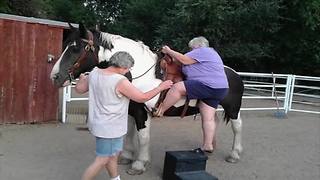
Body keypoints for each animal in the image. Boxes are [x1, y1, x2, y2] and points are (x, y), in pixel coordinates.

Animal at [50, 23, 244, 175]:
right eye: (65, 44)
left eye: (75, 48)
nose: (55, 76)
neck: (137, 73)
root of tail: (235, 74)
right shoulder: (130, 109)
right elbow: (129, 133)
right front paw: (127, 157)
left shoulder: (141, 111)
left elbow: (142, 136)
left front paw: (139, 164)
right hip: (209, 106)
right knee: (211, 122)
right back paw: (209, 148)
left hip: (233, 109)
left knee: (237, 127)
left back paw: (234, 154)